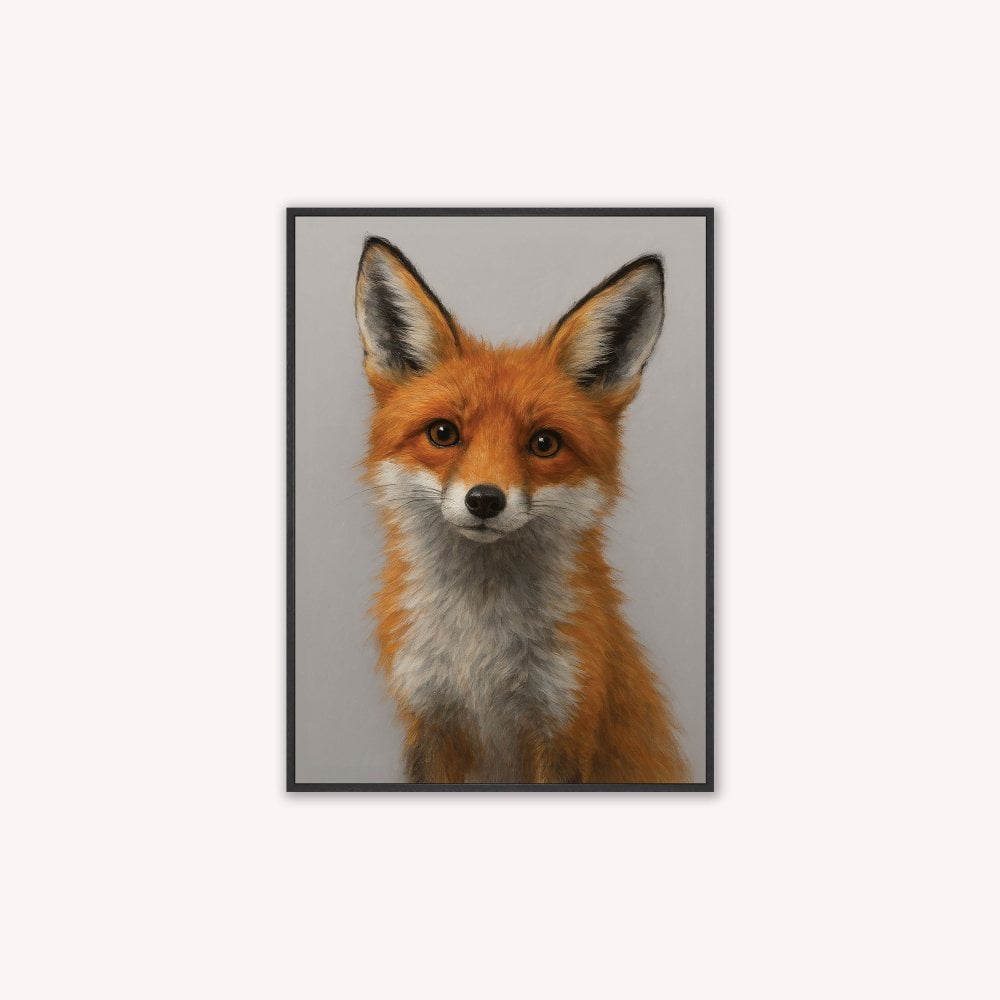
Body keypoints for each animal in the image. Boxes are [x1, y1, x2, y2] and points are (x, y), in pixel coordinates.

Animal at [354, 236, 690, 784]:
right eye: (443, 433)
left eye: (544, 443)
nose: (485, 500)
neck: (481, 653)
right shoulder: (430, 717)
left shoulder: (565, 724)